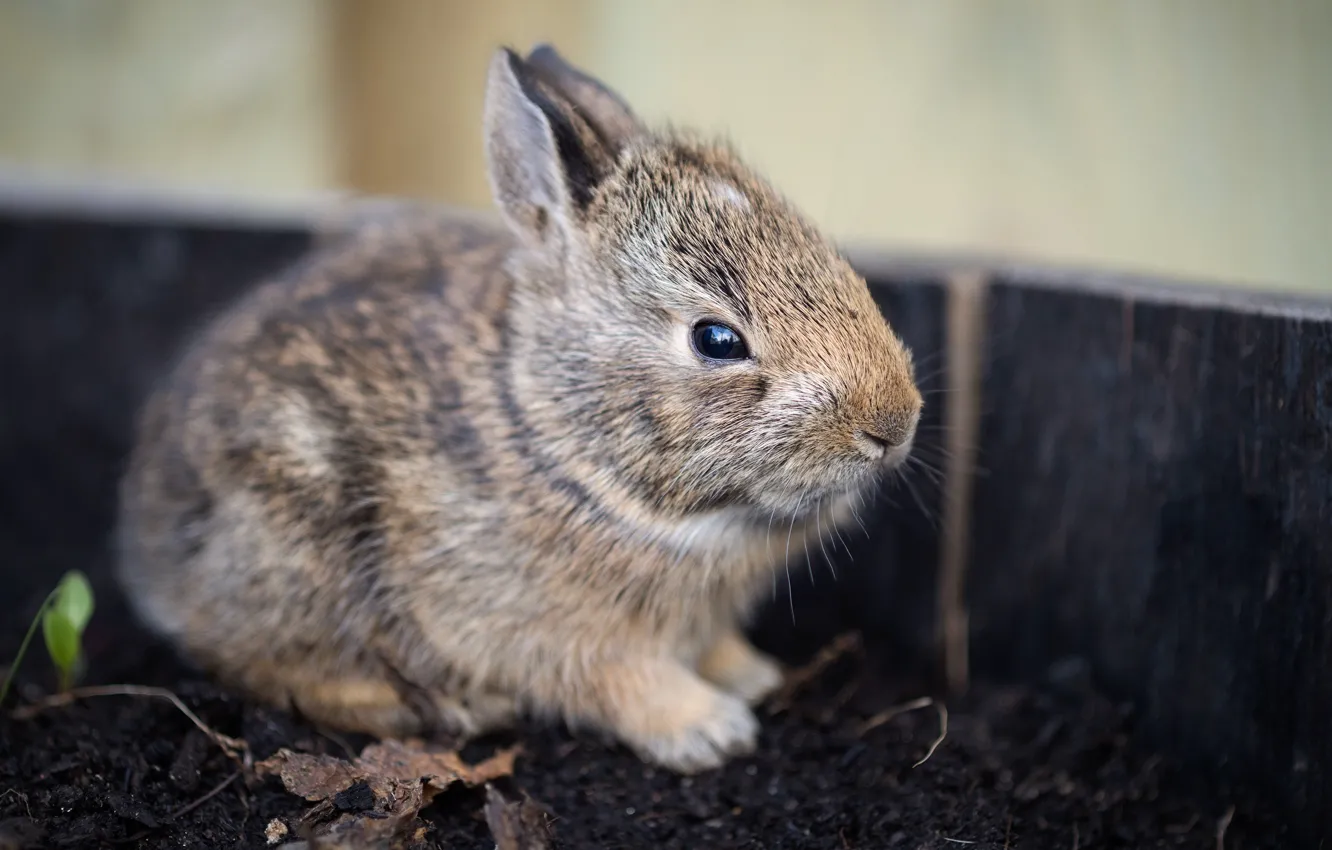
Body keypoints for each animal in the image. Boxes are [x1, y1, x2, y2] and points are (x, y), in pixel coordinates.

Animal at [115, 43, 923, 773]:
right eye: (716, 339)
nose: (893, 425)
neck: (561, 443)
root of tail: (150, 556)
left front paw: (749, 676)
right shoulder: (560, 634)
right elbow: (621, 679)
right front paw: (710, 732)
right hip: (296, 546)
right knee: (261, 661)